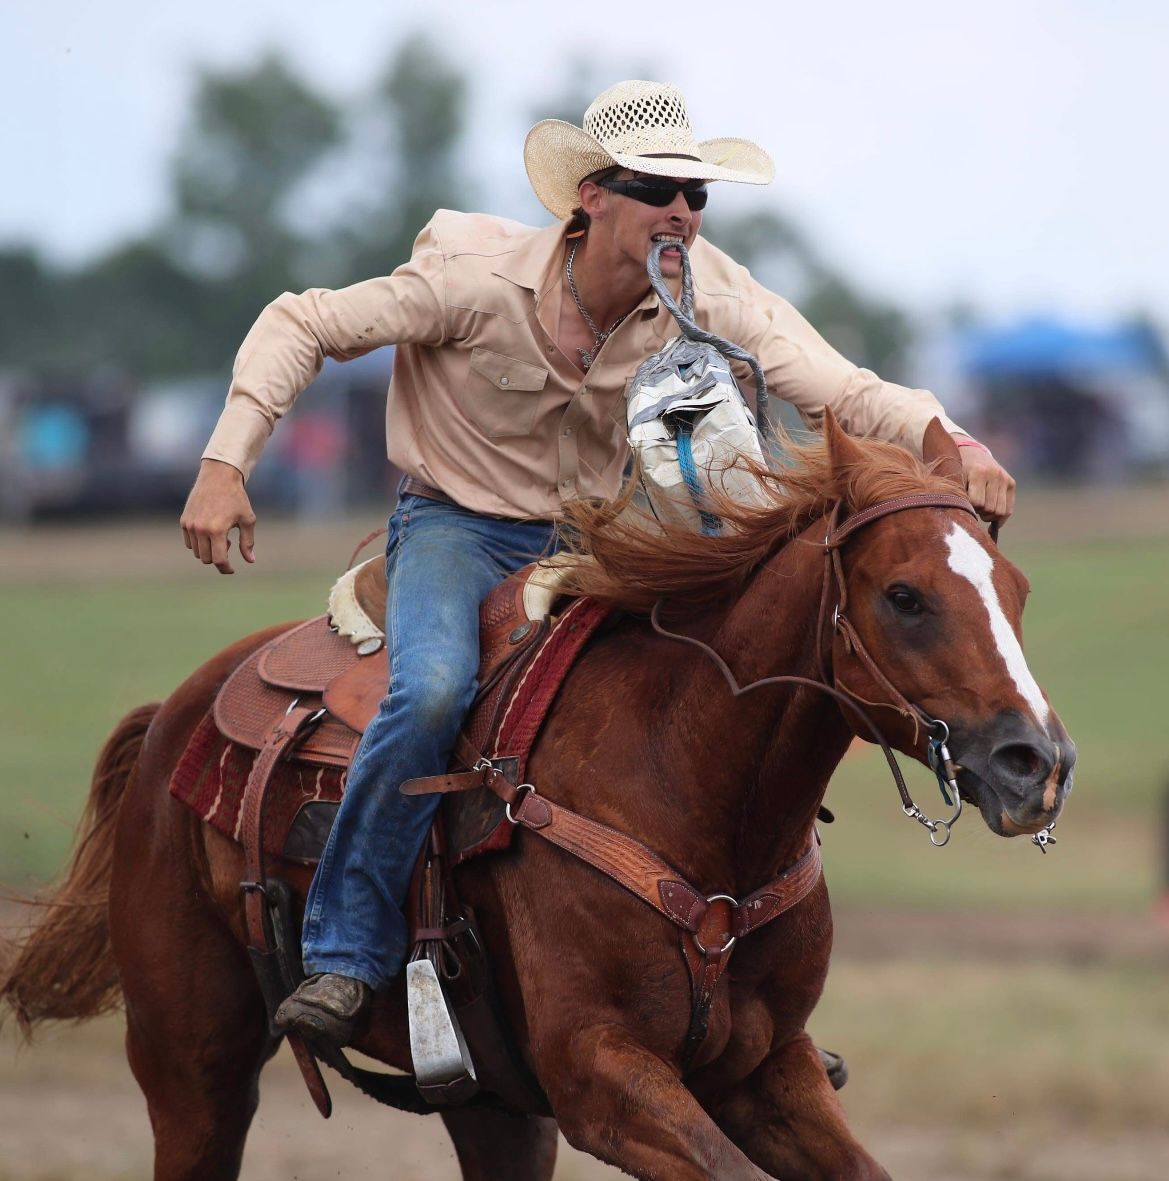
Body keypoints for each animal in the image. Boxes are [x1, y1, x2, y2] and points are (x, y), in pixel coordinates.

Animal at [1, 413, 1075, 1181]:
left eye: (1018, 589)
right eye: (904, 595)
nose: (1035, 762)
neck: (688, 778)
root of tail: (177, 716)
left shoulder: (769, 1067)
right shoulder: (603, 1076)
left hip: (490, 1106)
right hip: (193, 1066)